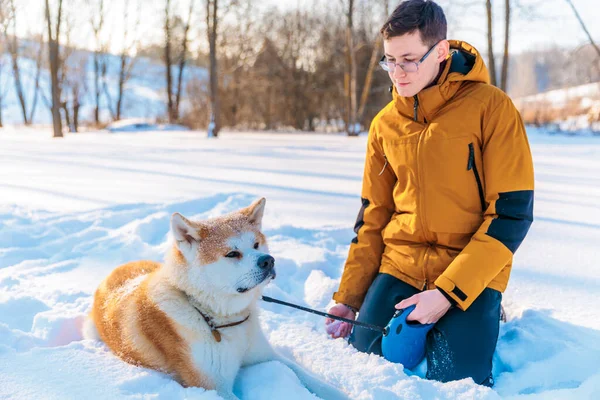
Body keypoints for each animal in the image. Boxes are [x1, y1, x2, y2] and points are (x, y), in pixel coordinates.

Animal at [84, 199, 346, 400]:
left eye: (256, 244)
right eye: (232, 253)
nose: (268, 260)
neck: (218, 317)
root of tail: (118, 268)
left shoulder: (267, 356)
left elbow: (316, 382)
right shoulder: (212, 385)